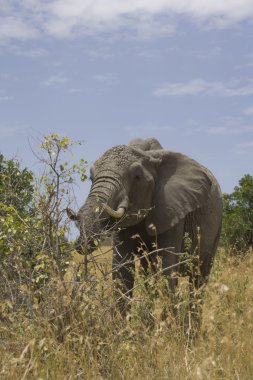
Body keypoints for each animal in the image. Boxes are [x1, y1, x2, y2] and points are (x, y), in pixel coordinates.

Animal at [66, 138, 222, 314]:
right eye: (91, 177)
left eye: (137, 177)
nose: (80, 245)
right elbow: (121, 272)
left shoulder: (173, 210)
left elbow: (167, 269)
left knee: (199, 278)